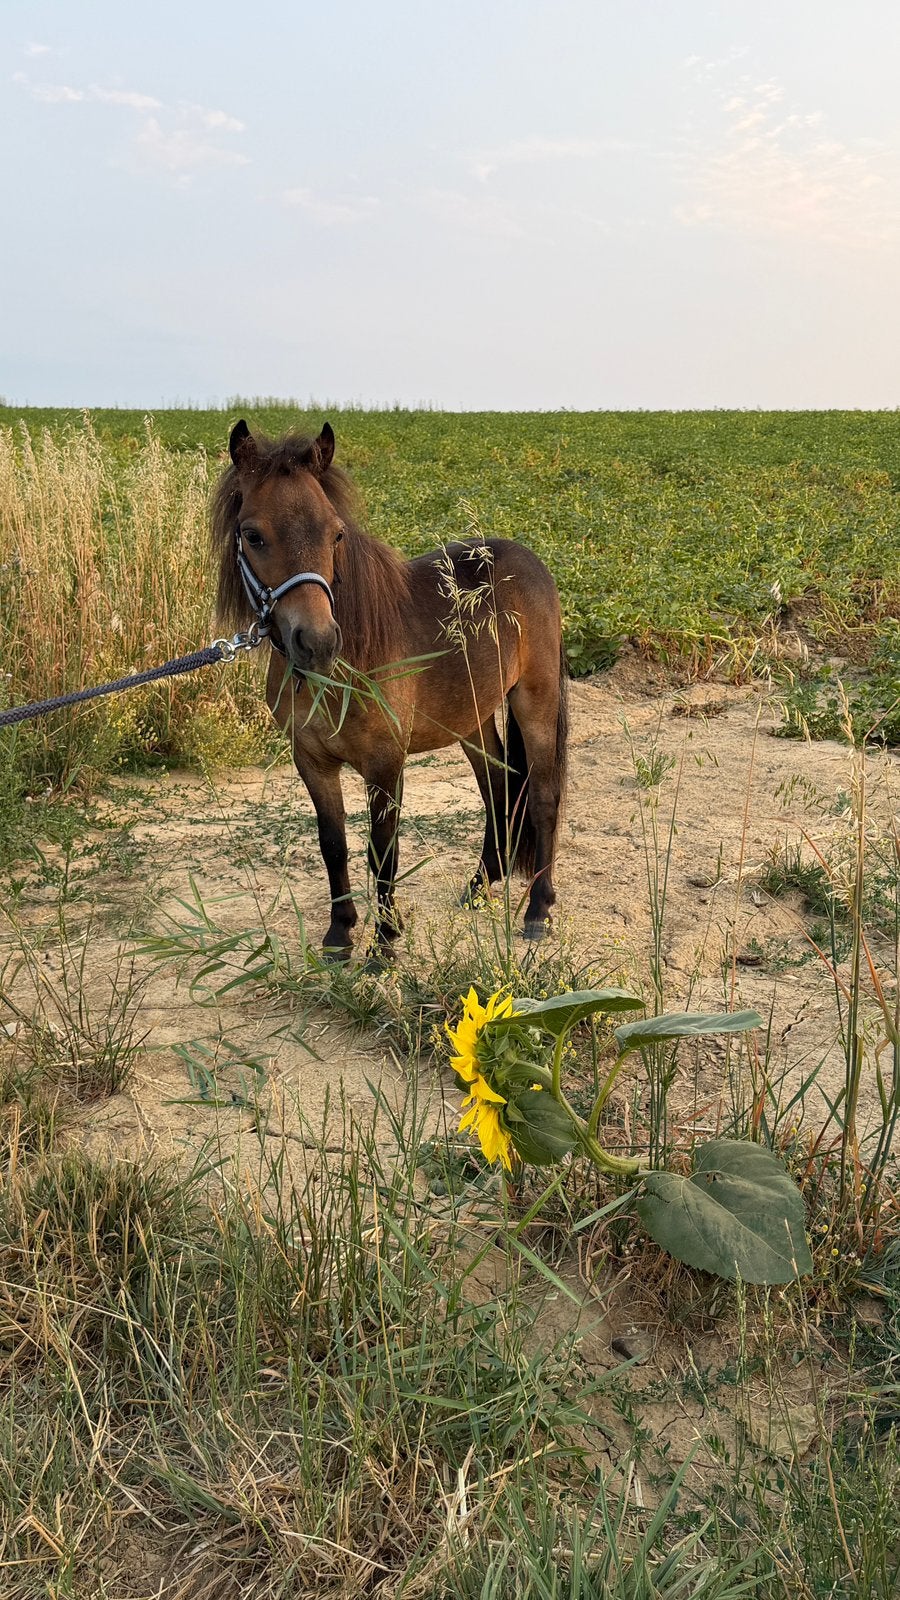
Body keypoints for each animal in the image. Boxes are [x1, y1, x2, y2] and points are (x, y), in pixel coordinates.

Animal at [211, 419, 568, 960]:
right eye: (253, 535)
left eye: (336, 533)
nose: (317, 642)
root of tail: (530, 562)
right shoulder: (312, 762)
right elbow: (334, 844)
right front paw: (340, 934)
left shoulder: (385, 764)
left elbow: (383, 851)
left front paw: (383, 945)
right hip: (472, 717)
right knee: (498, 787)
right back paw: (480, 886)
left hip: (535, 701)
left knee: (544, 796)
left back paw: (538, 908)